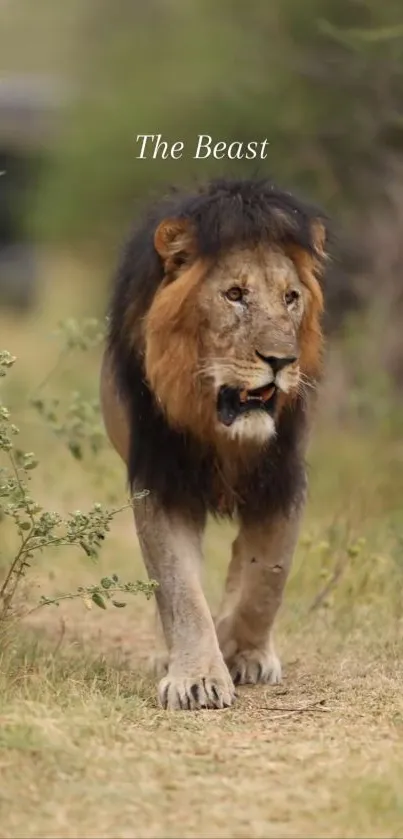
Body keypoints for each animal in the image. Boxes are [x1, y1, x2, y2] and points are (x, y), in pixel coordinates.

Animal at [101, 177, 328, 708]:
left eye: (291, 297)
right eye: (235, 294)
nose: (281, 361)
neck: (224, 432)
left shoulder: (283, 479)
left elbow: (268, 574)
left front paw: (242, 652)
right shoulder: (162, 482)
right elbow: (179, 587)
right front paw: (198, 677)